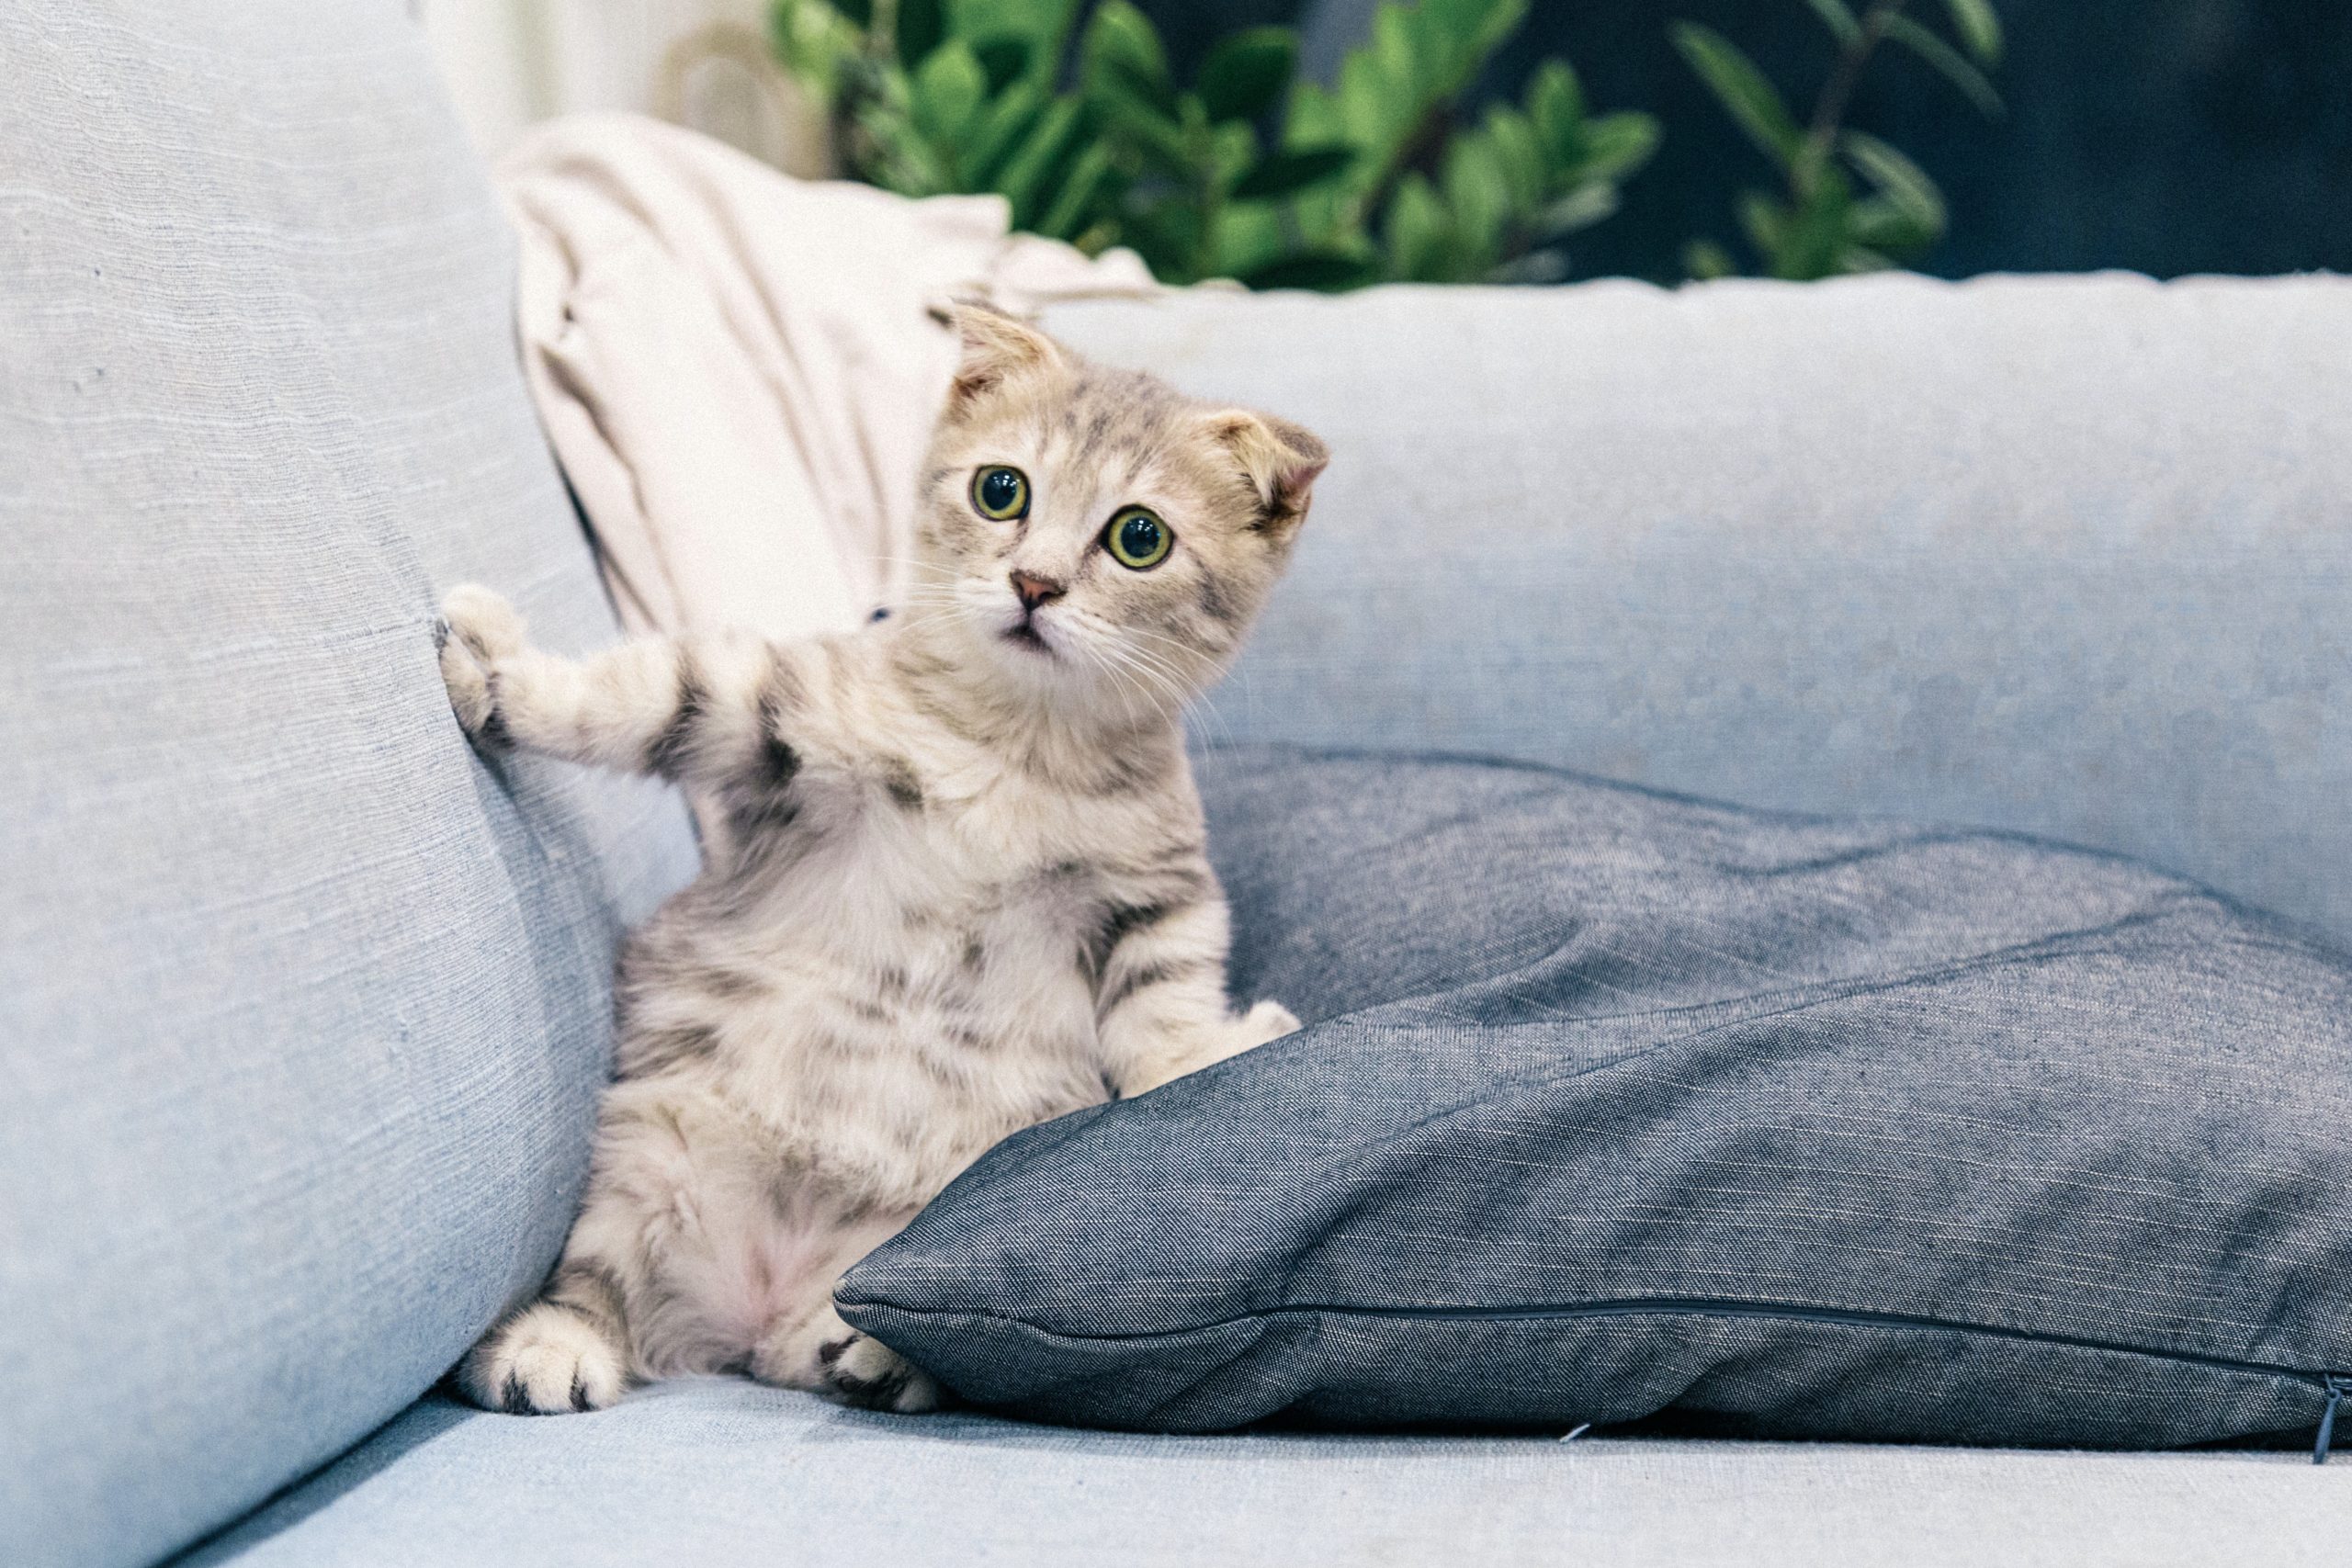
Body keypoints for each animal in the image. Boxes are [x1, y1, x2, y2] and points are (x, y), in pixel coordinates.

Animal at [437, 303, 1326, 1410]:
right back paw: (554, 1347)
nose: (1034, 583)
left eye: (1139, 537)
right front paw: (497, 673)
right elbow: (650, 693)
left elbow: (1163, 1008)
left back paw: (866, 1351)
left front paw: (1204, 1057)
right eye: (1001, 489)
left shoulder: (1157, 893)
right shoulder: (779, 718)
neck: (1017, 749)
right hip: (646, 1152)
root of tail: (755, 1308)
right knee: (598, 1280)